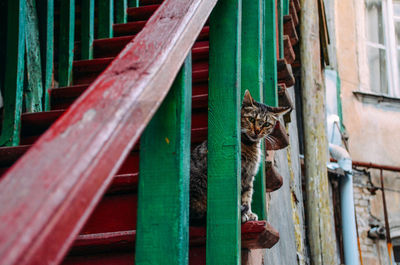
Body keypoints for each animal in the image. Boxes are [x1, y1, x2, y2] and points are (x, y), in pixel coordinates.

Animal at [189, 88, 290, 223]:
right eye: (251, 119)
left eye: (266, 124)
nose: (257, 131)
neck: (249, 145)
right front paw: (241, 215)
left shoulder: (249, 176)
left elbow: (247, 196)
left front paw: (249, 213)